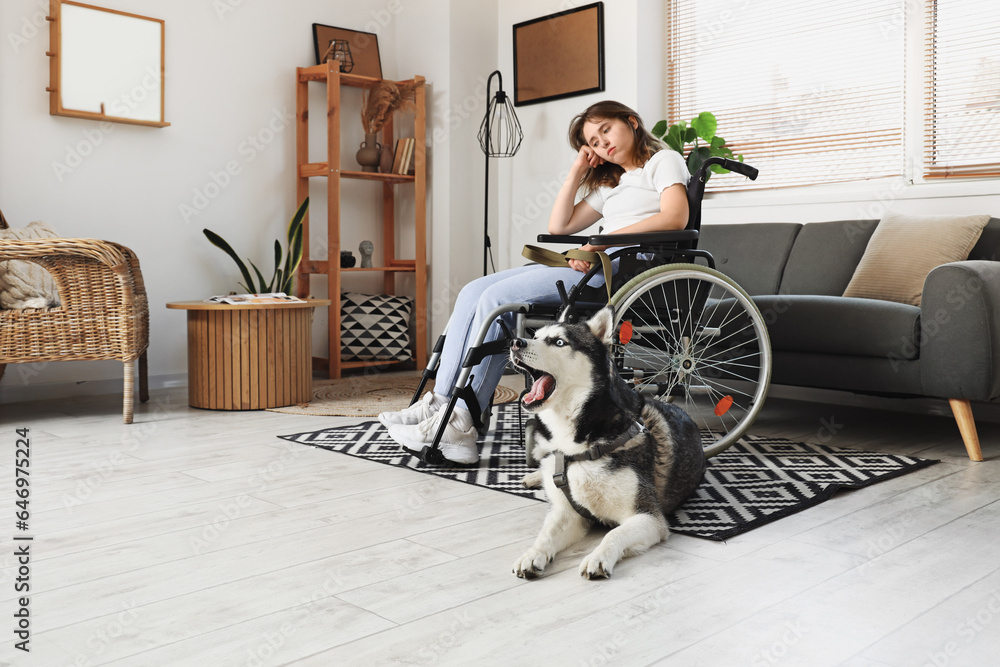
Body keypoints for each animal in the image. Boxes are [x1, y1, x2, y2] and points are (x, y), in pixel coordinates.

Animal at [508, 308, 704, 580]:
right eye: (535, 336)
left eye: (559, 342)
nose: (516, 342)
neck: (578, 447)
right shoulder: (568, 513)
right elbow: (546, 535)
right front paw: (532, 554)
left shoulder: (648, 516)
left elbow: (614, 533)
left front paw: (598, 557)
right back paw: (535, 477)